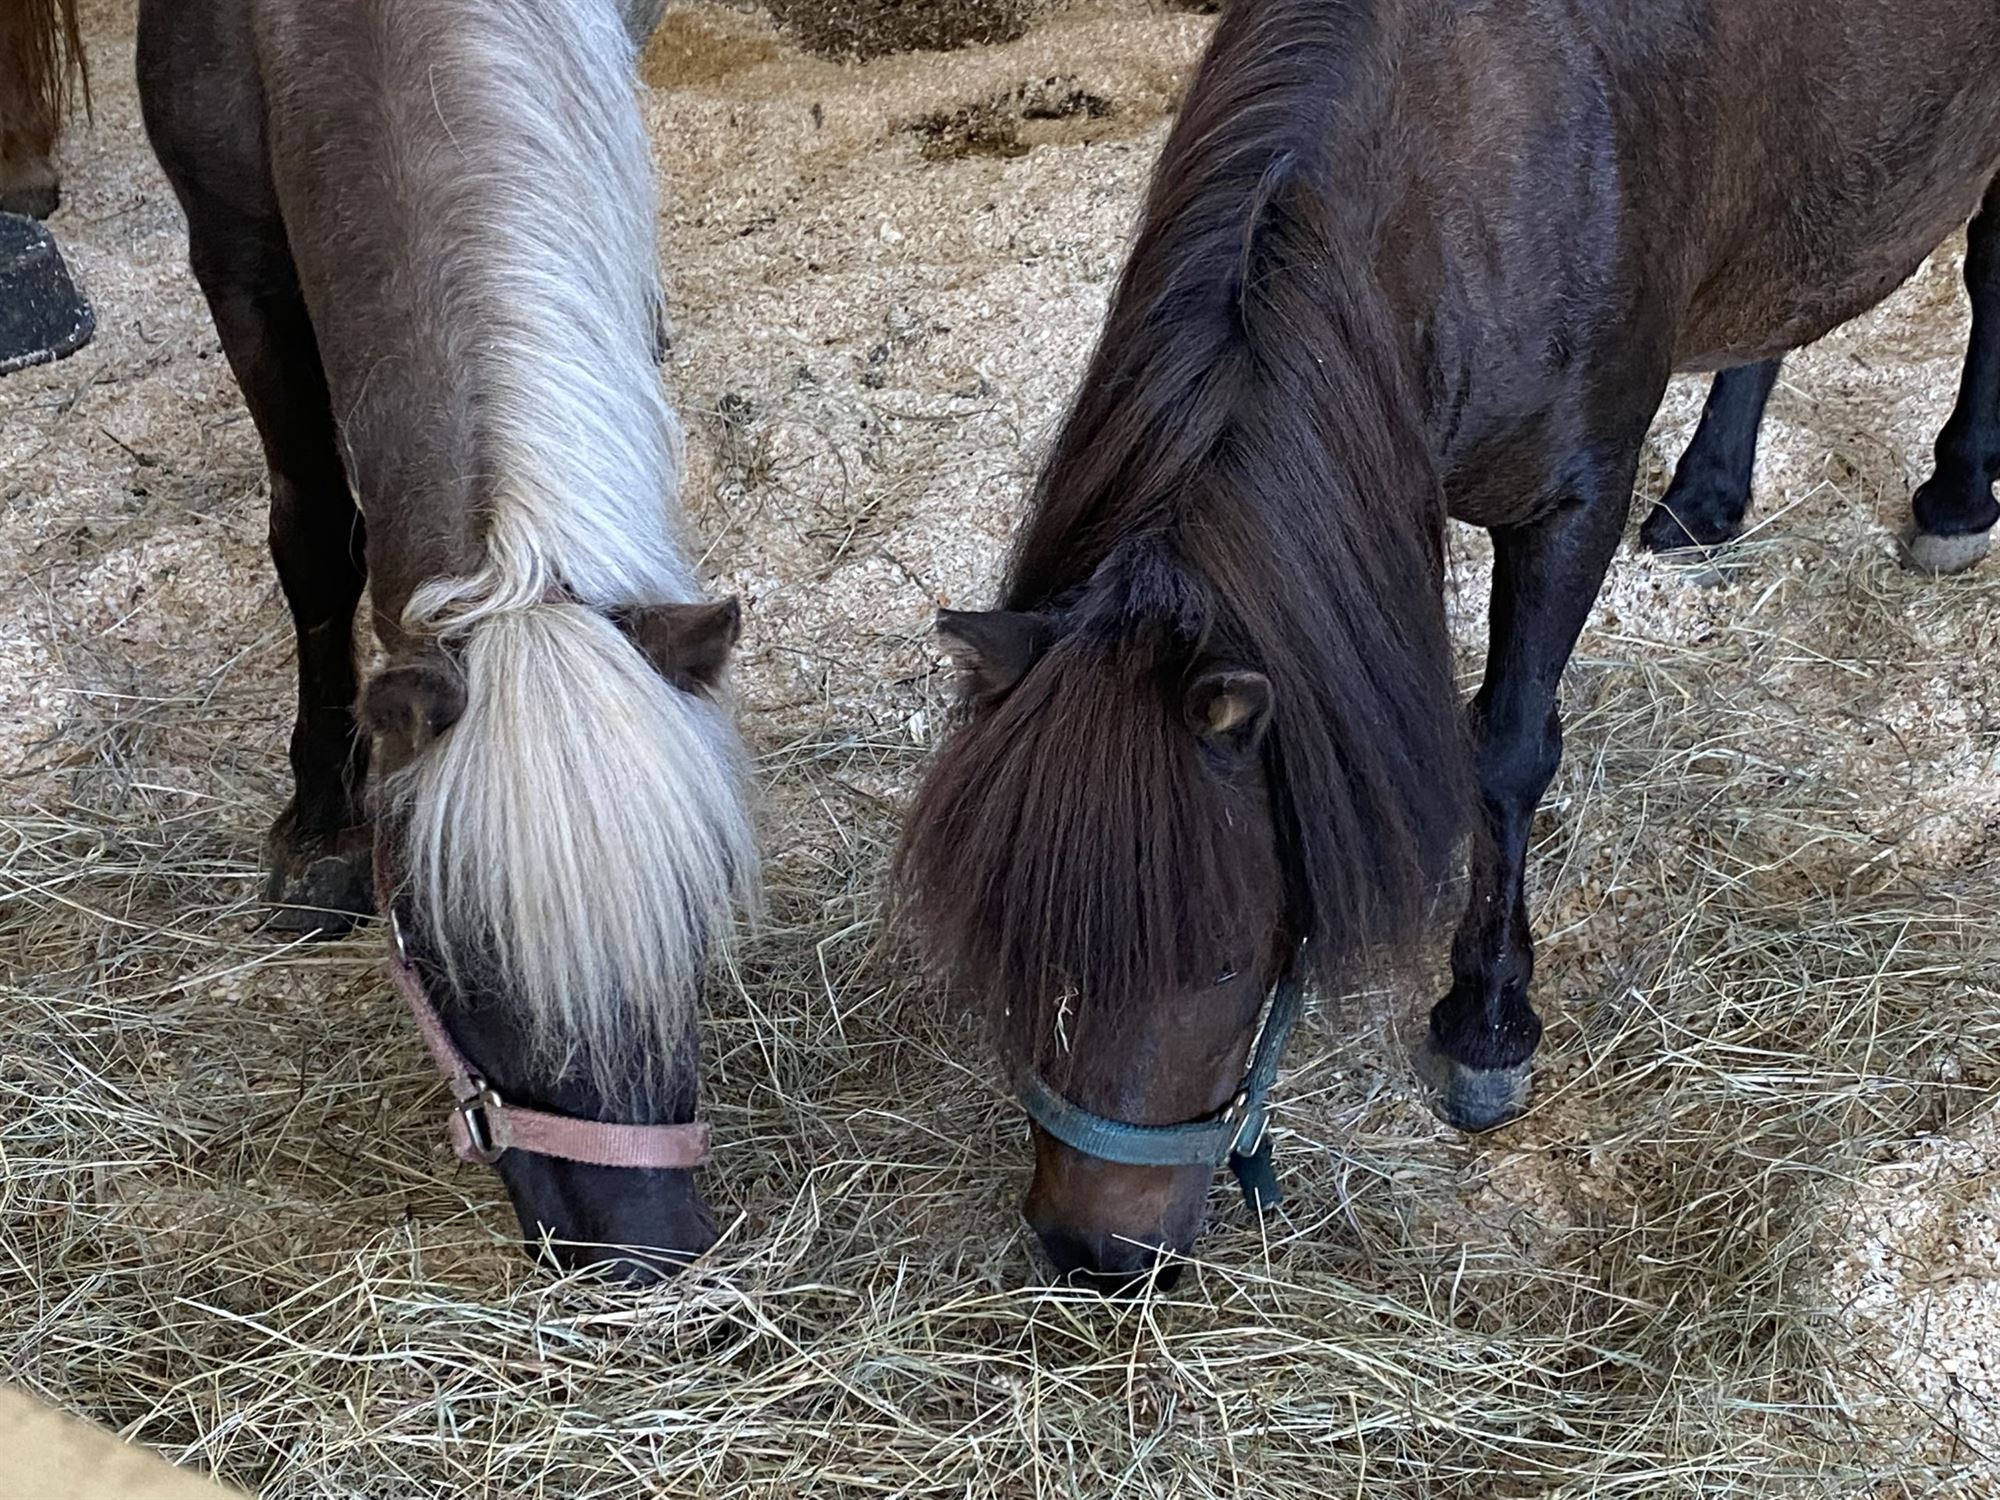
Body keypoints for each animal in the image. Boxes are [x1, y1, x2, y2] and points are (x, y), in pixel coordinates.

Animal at [136, 0, 755, 1280]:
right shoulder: (234, 250)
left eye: (697, 904)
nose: (647, 1258)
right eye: (449, 952)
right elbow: (312, 533)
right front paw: (320, 820)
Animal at [899, 0, 2000, 1290]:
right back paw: (1707, 497)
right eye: (1013, 941)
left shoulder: (1571, 502)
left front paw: (1484, 1023)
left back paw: (1955, 494)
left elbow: (1507, 754)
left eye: (1222, 960)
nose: (1092, 1251)